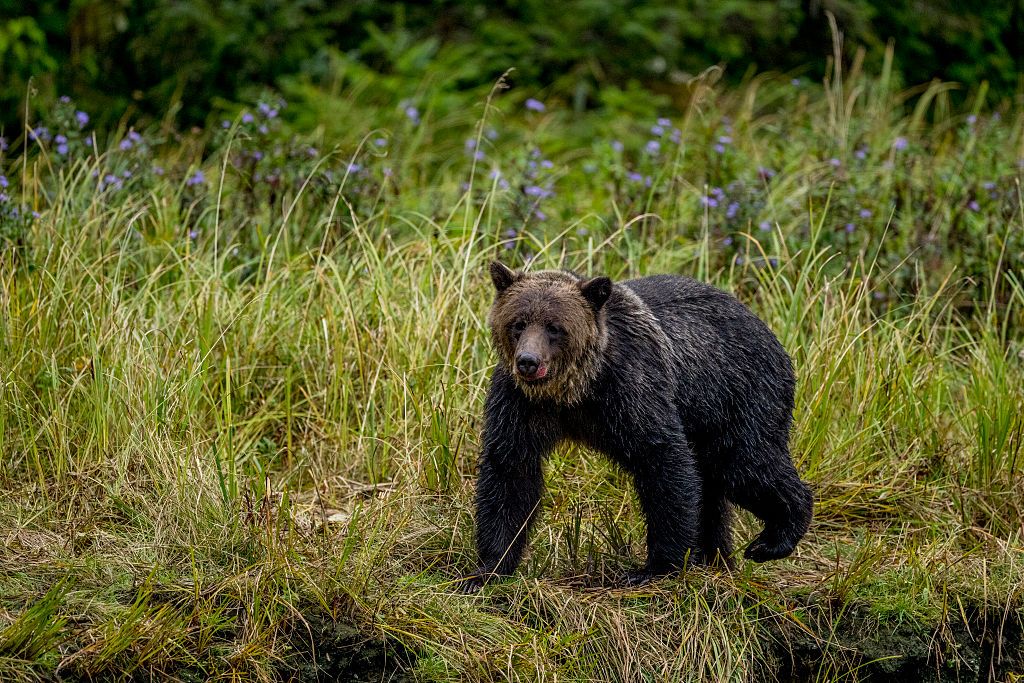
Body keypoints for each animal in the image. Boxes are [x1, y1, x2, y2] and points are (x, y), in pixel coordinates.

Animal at [461, 261, 813, 590]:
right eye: (518, 323)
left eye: (554, 327)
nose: (528, 362)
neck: (575, 391)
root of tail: (765, 328)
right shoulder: (520, 405)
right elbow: (510, 472)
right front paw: (486, 570)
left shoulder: (633, 389)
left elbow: (662, 460)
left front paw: (655, 567)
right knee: (714, 486)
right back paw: (713, 556)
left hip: (737, 394)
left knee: (744, 464)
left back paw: (772, 539)